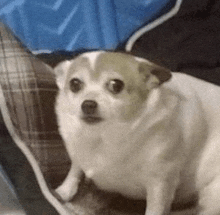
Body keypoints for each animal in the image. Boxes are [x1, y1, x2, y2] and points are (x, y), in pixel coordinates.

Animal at [54, 50, 220, 215]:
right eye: (75, 84)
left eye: (116, 85)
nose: (88, 104)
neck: (104, 135)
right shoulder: (77, 153)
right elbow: (75, 169)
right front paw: (63, 191)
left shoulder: (160, 182)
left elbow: (155, 208)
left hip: (212, 196)